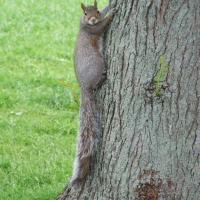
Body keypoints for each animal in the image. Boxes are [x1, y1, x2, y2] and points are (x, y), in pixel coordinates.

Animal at [70, 0, 118, 186]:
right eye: (85, 13)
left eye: (96, 10)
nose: (91, 19)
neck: (86, 24)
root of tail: (84, 87)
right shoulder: (92, 29)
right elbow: (101, 26)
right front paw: (111, 14)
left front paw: (109, 6)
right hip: (96, 63)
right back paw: (103, 78)